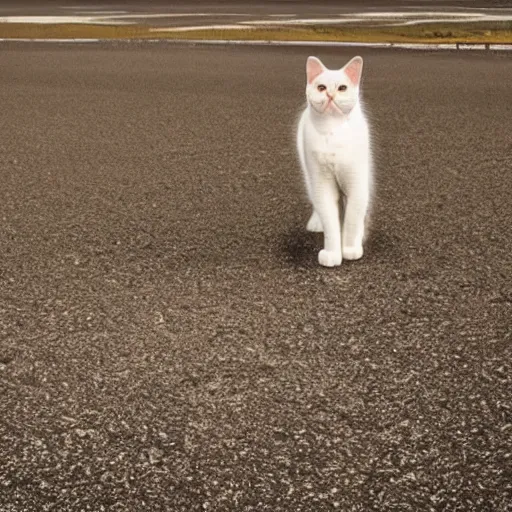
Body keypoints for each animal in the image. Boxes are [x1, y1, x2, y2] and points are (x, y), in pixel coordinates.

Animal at [296, 56, 372, 268]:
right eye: (321, 87)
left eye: (342, 88)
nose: (330, 94)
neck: (332, 129)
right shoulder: (323, 185)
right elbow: (330, 223)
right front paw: (332, 254)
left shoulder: (356, 185)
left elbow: (353, 220)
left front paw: (351, 249)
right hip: (309, 178)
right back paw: (316, 224)